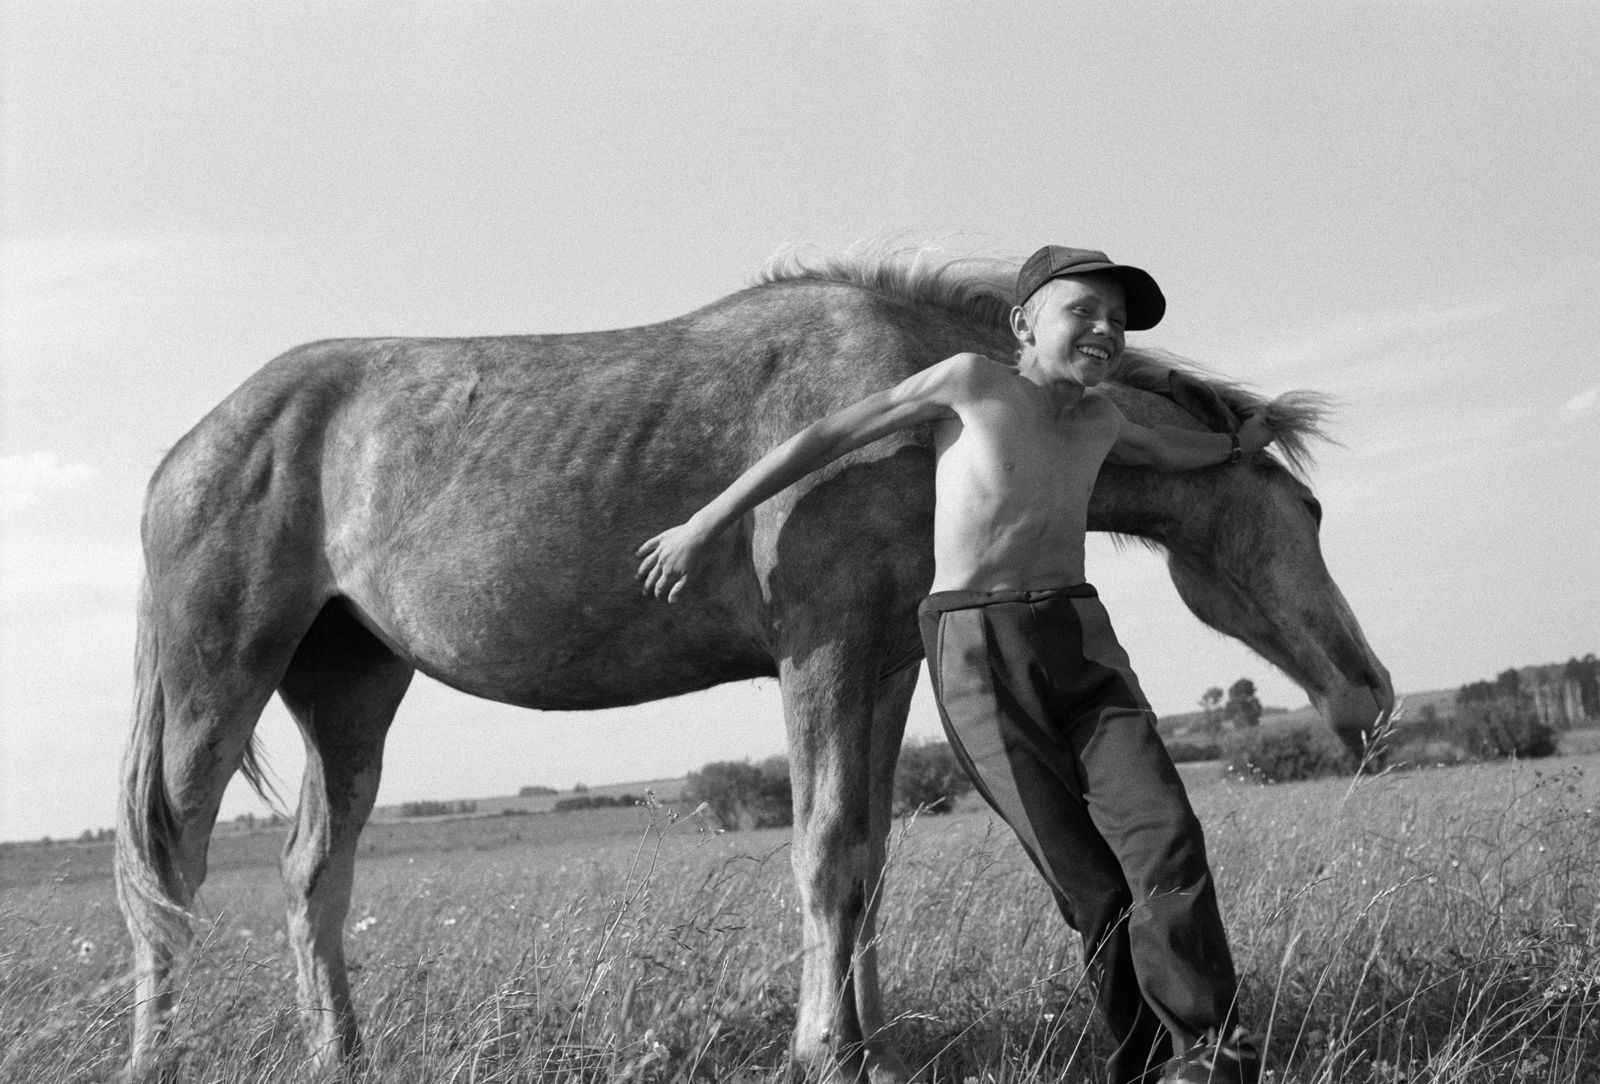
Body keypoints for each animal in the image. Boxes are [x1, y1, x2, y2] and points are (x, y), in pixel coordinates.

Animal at [116, 247, 1392, 1082]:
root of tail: (185, 449)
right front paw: (824, 1046)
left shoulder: (882, 661)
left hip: (350, 688)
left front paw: (876, 1041)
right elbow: (824, 852)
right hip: (217, 682)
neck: (922, 409)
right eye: (1312, 508)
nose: (1368, 694)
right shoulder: (820, 650)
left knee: (310, 877)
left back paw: (344, 1053)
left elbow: (869, 856)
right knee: (168, 872)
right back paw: (157, 1055)